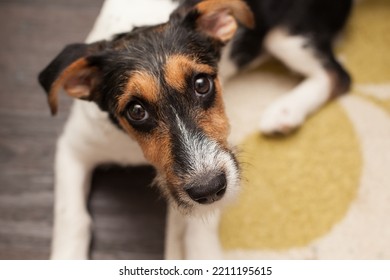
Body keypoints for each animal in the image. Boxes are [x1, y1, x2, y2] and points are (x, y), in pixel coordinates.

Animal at [38, 0, 354, 260]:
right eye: (136, 111)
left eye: (202, 84)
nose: (208, 189)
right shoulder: (73, 148)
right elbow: (71, 217)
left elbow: (200, 228)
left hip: (285, 36)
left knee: (338, 75)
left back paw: (285, 111)